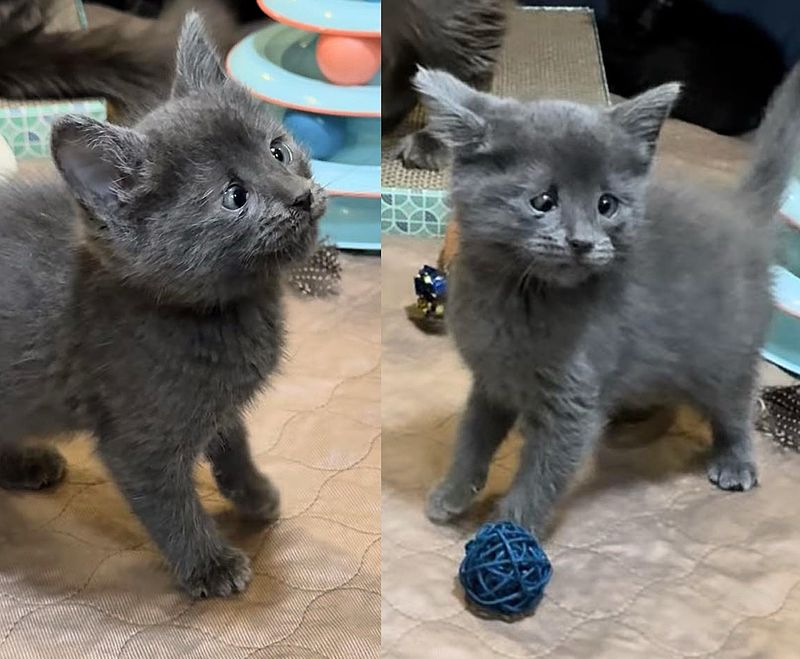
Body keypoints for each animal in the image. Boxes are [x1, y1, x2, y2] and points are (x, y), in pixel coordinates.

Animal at [0, 11, 324, 600]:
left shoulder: (213, 401)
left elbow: (232, 441)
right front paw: (210, 564)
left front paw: (253, 494)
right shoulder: (138, 435)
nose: (301, 195)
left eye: (277, 150)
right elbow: (169, 506)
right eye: (234, 197)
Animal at [416, 63, 800, 536]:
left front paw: (508, 532)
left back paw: (736, 461)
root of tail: (741, 210)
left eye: (606, 204)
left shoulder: (572, 401)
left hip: (725, 350)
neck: (516, 296)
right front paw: (451, 495)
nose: (582, 242)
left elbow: (542, 473)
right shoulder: (490, 379)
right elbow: (472, 437)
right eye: (543, 200)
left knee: (737, 401)